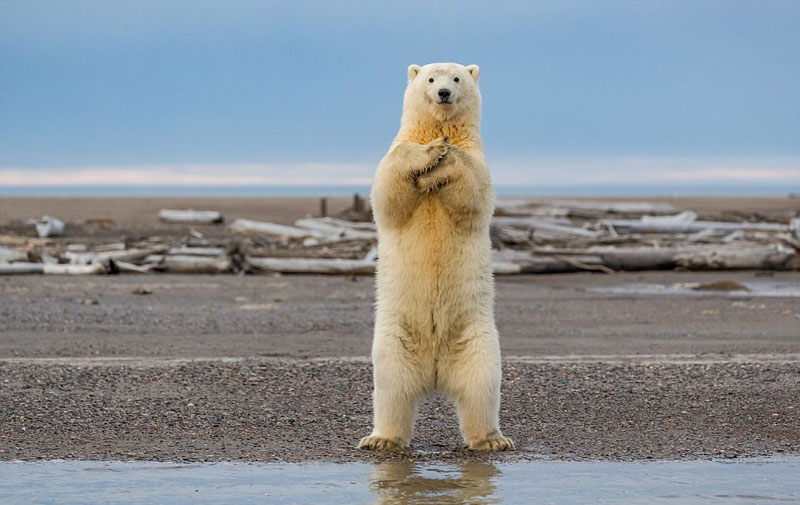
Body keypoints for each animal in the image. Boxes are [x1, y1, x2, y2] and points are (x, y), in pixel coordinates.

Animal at [359, 62, 514, 451]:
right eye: (430, 78)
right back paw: (381, 439)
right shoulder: (397, 148)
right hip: (394, 338)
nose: (444, 93)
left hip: (477, 338)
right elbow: (389, 189)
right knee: (391, 389)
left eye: (456, 78)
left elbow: (473, 190)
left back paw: (492, 439)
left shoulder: (479, 160)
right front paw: (431, 152)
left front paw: (445, 155)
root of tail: (435, 372)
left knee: (481, 387)